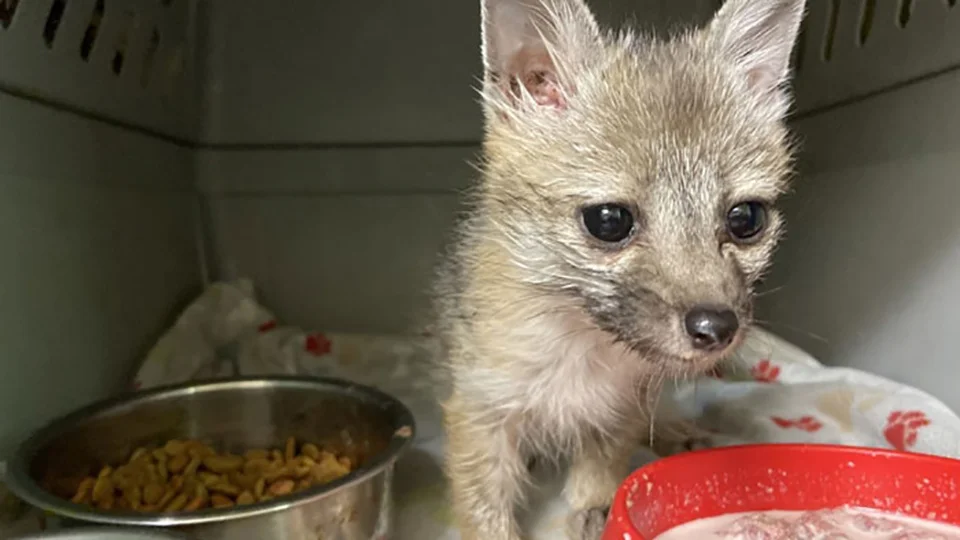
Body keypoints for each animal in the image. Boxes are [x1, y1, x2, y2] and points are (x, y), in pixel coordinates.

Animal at [433, 0, 806, 538]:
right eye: (609, 221)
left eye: (746, 220)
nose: (717, 328)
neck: (577, 351)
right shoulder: (480, 412)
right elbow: (486, 512)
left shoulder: (618, 411)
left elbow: (599, 473)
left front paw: (597, 510)